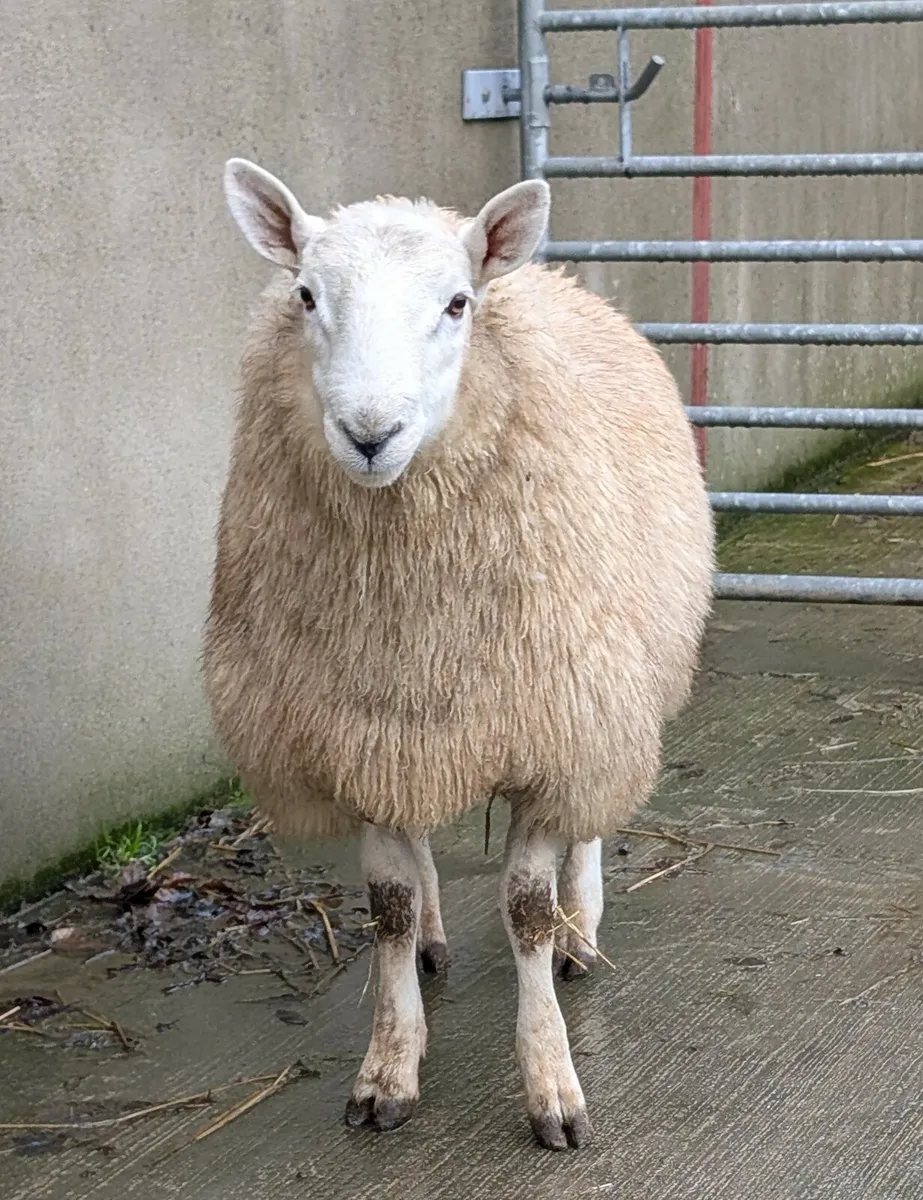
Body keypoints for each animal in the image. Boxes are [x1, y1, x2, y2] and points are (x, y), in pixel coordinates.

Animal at [204, 156, 715, 1151]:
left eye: (456, 303)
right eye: (305, 294)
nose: (370, 434)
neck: (411, 604)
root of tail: (556, 278)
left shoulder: (552, 725)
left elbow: (523, 910)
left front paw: (551, 1082)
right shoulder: (355, 736)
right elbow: (387, 909)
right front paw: (388, 1068)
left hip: (601, 696)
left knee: (588, 828)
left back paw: (580, 932)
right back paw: (440, 935)